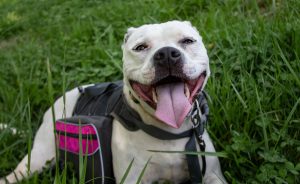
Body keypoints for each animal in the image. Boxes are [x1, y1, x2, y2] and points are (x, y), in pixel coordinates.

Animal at [0, 20, 225, 183]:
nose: (167, 54)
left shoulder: (212, 175)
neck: (168, 131)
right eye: (140, 47)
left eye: (188, 41)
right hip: (38, 159)